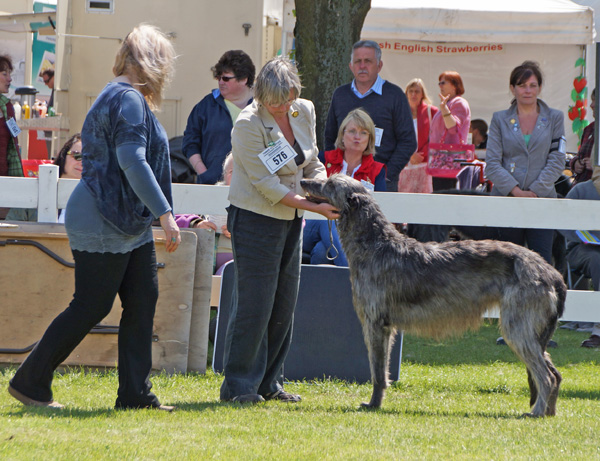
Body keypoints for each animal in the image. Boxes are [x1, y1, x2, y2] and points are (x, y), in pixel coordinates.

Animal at [302, 173, 564, 416]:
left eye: (330, 184)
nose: (304, 180)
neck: (375, 245)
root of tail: (551, 271)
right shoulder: (387, 327)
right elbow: (383, 371)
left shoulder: (375, 323)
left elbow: (377, 373)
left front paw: (373, 404)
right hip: (532, 329)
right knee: (555, 372)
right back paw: (549, 411)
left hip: (517, 325)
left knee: (546, 375)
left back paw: (536, 411)